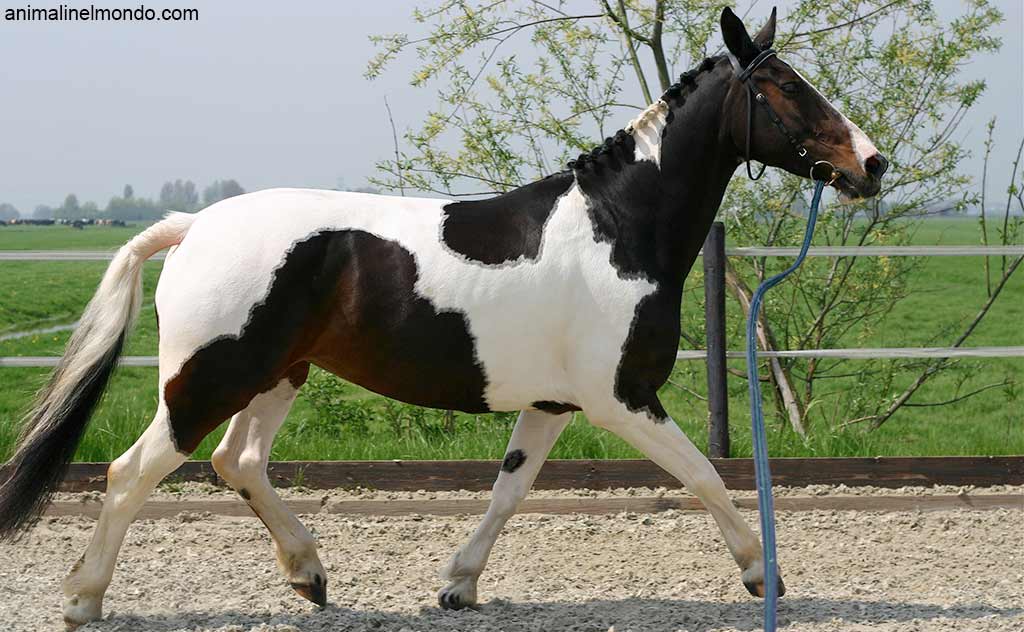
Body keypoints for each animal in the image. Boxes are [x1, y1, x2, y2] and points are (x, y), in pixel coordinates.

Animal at [0, 7, 887, 627]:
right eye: (784, 88)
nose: (871, 165)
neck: (618, 229)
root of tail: (192, 226)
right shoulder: (622, 398)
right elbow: (704, 474)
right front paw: (763, 573)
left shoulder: (554, 403)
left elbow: (510, 488)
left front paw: (459, 585)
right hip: (210, 379)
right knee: (132, 473)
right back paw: (83, 599)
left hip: (278, 374)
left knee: (237, 461)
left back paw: (309, 573)